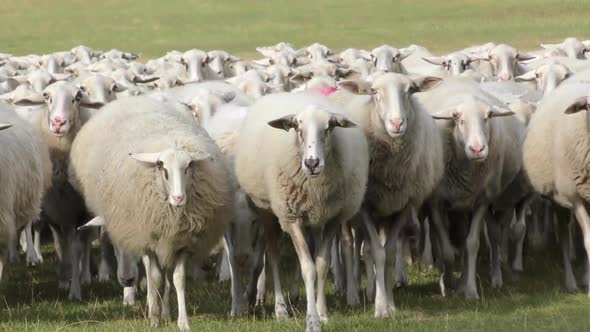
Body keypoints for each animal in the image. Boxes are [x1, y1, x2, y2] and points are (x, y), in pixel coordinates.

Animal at [68, 96, 235, 330]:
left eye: (188, 167)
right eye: (162, 168)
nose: (178, 198)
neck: (173, 216)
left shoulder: (180, 242)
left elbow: (177, 279)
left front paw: (181, 321)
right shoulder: (148, 240)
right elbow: (155, 278)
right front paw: (154, 318)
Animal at [234, 91, 368, 332]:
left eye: (329, 127)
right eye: (297, 127)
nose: (312, 163)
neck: (315, 187)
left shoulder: (332, 217)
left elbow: (321, 265)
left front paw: (322, 313)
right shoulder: (291, 217)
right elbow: (308, 269)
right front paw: (312, 321)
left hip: (314, 219)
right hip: (269, 211)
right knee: (273, 256)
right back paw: (280, 309)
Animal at [336, 74, 446, 318]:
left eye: (411, 90)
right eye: (374, 92)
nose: (397, 123)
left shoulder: (402, 205)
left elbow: (389, 253)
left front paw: (390, 304)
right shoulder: (365, 206)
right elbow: (378, 253)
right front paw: (380, 309)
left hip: (385, 212)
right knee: (349, 245)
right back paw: (352, 295)